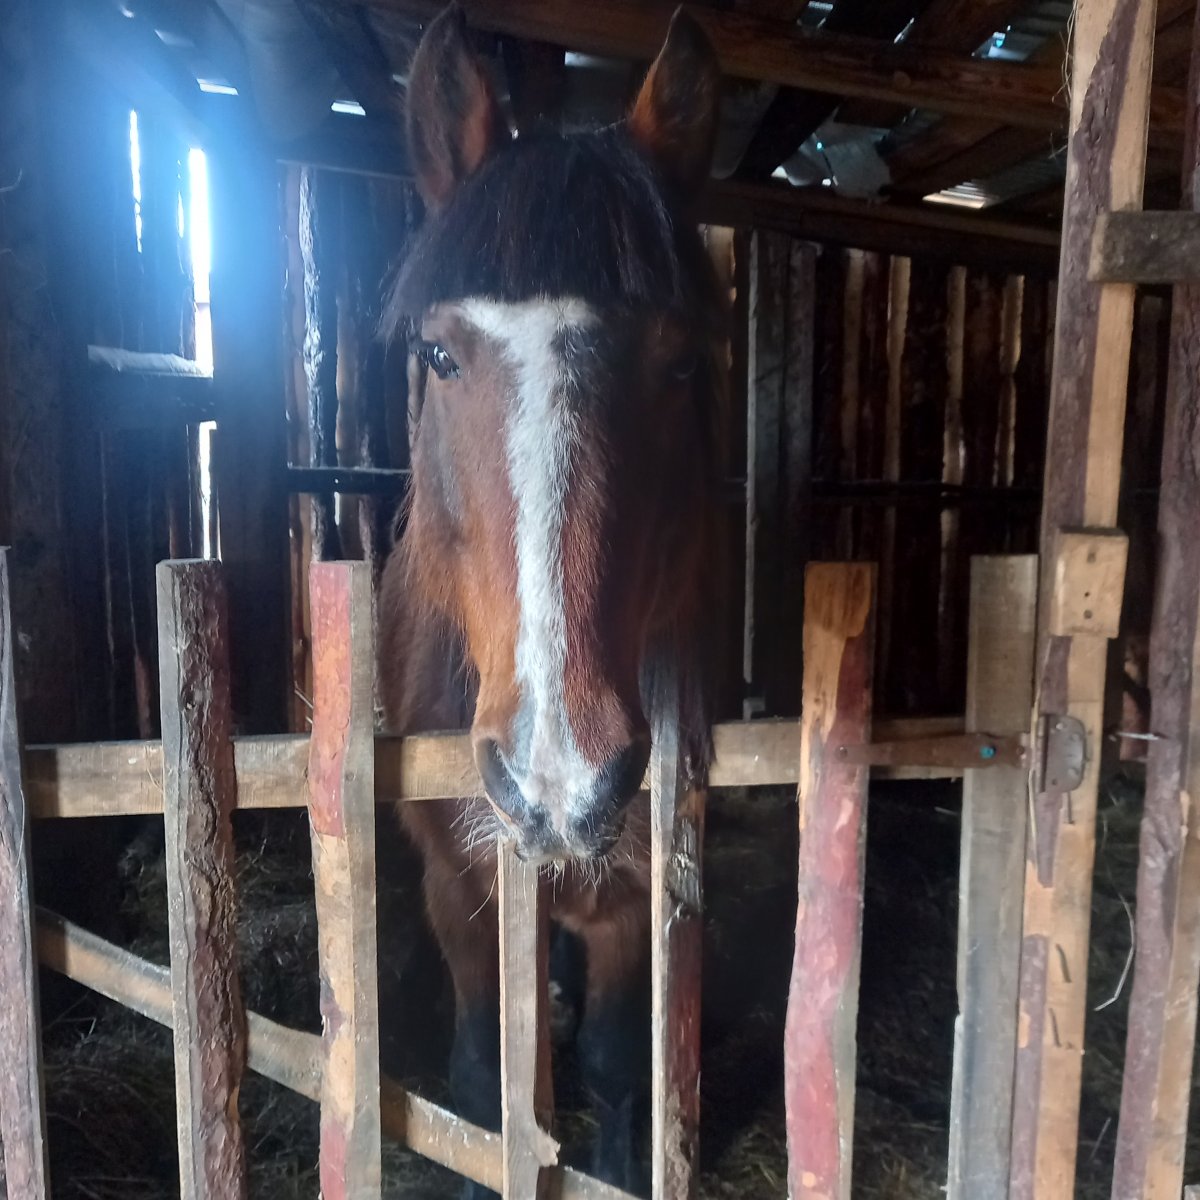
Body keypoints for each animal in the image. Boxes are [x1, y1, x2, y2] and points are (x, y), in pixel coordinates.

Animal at [378, 6, 727, 1193]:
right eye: (439, 354)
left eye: (682, 363)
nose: (559, 776)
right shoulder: (457, 887)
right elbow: (483, 1084)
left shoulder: (638, 896)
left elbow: (623, 1078)